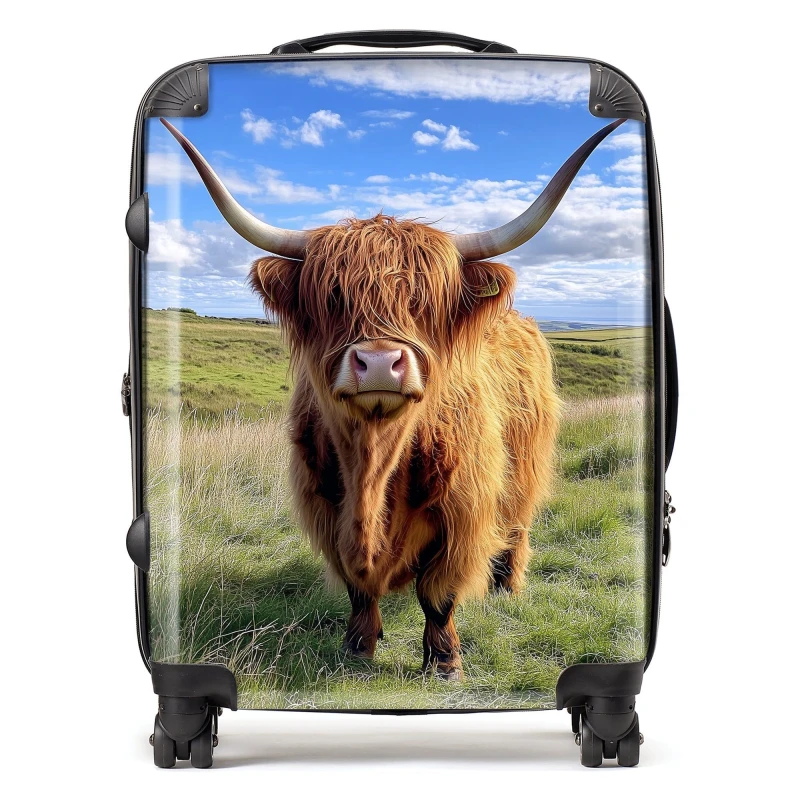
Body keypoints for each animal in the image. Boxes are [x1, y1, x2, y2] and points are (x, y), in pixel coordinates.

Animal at [162, 117, 624, 679]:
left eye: (423, 301)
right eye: (334, 296)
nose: (380, 363)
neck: (375, 461)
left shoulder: (463, 509)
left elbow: (438, 591)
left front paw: (445, 662)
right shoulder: (325, 503)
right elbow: (358, 587)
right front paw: (358, 646)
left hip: (527, 465)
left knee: (518, 523)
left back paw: (509, 587)